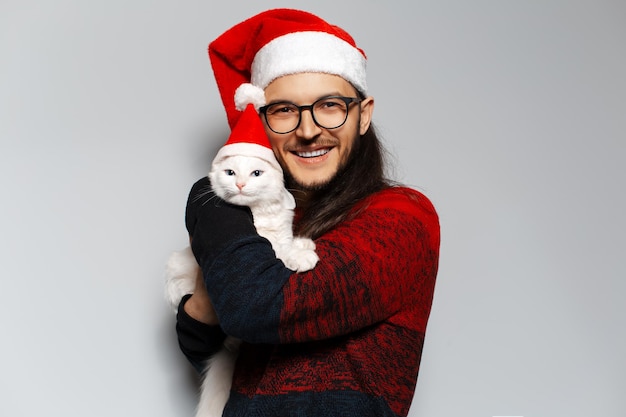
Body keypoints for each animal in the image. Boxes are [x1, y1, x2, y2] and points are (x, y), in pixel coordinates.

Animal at [166, 153, 316, 416]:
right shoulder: (260, 241)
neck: (261, 213)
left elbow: (285, 242)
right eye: (230, 173)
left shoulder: (280, 229)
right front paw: (300, 256)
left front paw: (302, 244)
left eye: (256, 173)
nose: (240, 185)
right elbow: (278, 251)